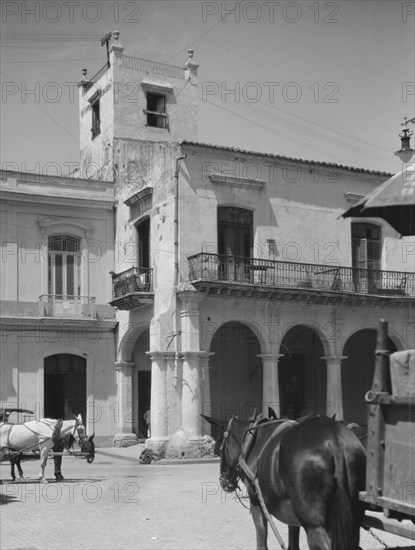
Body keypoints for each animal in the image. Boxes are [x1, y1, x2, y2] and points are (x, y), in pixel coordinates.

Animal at [205, 416, 368, 548]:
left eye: (221, 446)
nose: (223, 481)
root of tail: (334, 440)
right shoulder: (291, 512)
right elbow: (293, 542)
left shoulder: (256, 501)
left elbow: (261, 537)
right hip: (349, 520)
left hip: (315, 526)